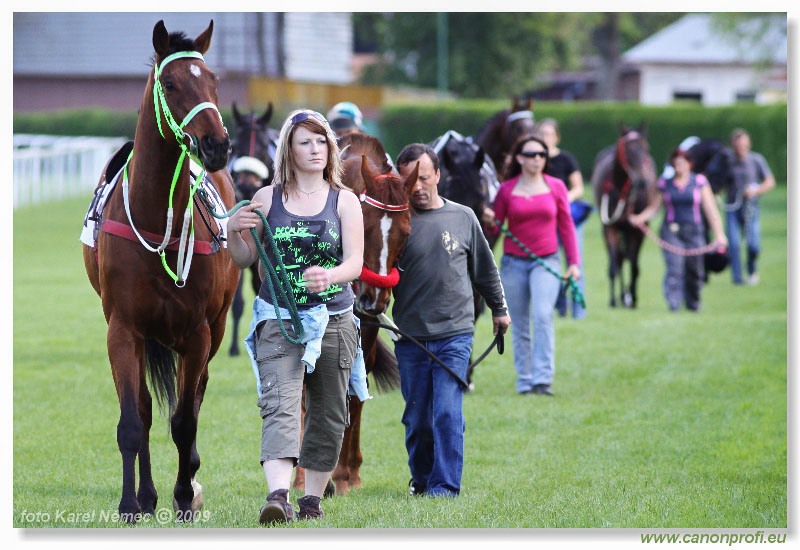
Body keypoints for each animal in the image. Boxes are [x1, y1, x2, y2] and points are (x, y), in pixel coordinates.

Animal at [81, 19, 239, 524]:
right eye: (170, 84)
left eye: (214, 82)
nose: (217, 145)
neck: (157, 220)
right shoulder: (123, 328)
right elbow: (135, 420)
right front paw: (132, 502)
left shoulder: (198, 332)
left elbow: (185, 420)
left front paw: (185, 495)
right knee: (148, 410)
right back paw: (149, 493)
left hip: (213, 328)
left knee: (195, 399)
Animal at [592, 122, 660, 308]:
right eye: (627, 150)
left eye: (645, 148)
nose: (642, 182)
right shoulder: (609, 227)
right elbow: (615, 264)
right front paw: (614, 299)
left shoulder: (638, 228)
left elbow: (634, 265)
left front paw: (633, 298)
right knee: (620, 260)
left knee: (628, 259)